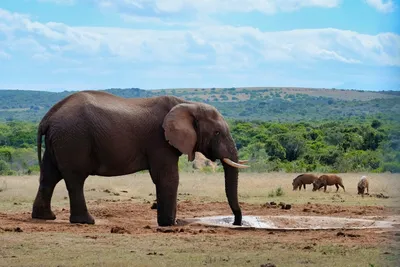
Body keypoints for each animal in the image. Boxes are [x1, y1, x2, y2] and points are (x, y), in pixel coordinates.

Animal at [32, 91, 250, 227]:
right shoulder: (159, 140)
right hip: (73, 139)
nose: (236, 222)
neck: (187, 104)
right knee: (75, 178)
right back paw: (86, 221)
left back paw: (45, 217)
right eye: (217, 133)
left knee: (49, 176)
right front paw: (169, 224)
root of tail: (48, 117)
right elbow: (168, 178)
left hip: (59, 141)